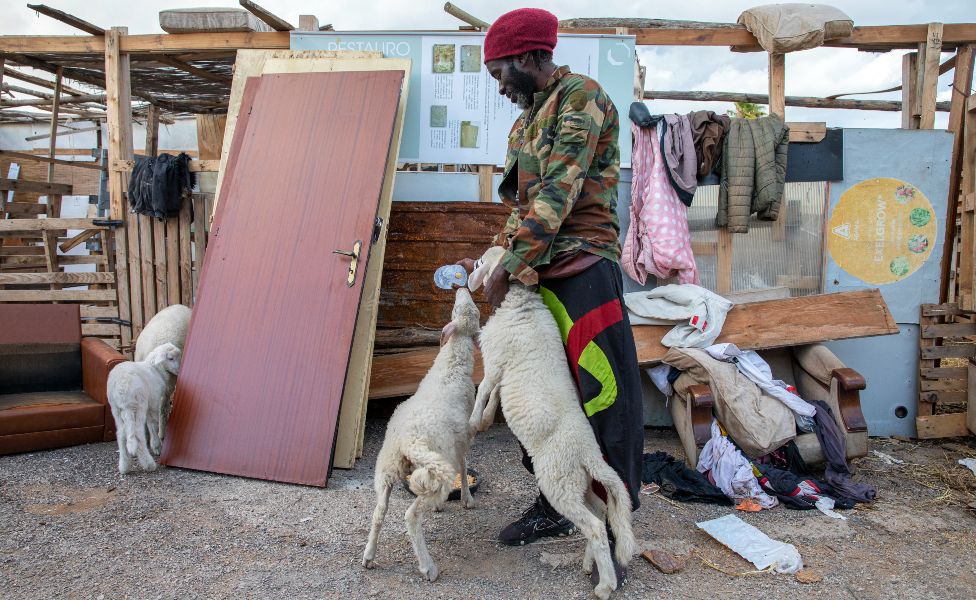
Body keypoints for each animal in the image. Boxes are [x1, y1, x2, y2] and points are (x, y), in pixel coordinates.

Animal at [107, 342, 182, 474]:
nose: (180, 369)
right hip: (139, 404)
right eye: (170, 358)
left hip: (116, 408)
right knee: (137, 432)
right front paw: (156, 446)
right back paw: (149, 464)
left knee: (121, 433)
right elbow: (152, 424)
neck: (155, 369)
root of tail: (122, 387)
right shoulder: (153, 402)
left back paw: (124, 466)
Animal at [360, 288, 482, 580]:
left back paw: (369, 556)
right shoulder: (464, 438)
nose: (463, 288)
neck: (450, 367)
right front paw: (467, 499)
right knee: (411, 516)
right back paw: (428, 567)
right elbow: (465, 465)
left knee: (379, 511)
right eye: (470, 310)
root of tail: (409, 442)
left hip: (387, 468)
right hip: (436, 476)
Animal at [468, 245, 636, 600]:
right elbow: (494, 396)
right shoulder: (502, 372)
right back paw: (590, 564)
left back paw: (605, 585)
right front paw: (487, 420)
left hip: (558, 483)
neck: (519, 303)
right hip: (578, 486)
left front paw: (475, 423)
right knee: (601, 514)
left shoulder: (494, 362)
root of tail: (589, 454)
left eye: (479, 264)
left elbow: (483, 390)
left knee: (596, 527)